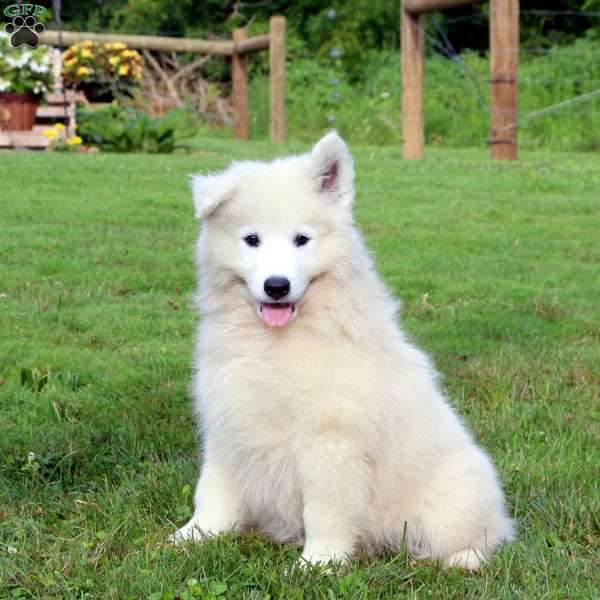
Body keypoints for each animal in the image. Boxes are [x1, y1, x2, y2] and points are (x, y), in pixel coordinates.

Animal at [175, 134, 516, 568]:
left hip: (453, 498)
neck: (276, 344)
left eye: (301, 239)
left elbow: (325, 511)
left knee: (490, 537)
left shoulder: (331, 441)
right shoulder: (229, 421)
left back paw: (462, 560)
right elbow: (213, 493)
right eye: (252, 240)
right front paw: (191, 537)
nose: (276, 286)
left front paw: (319, 563)